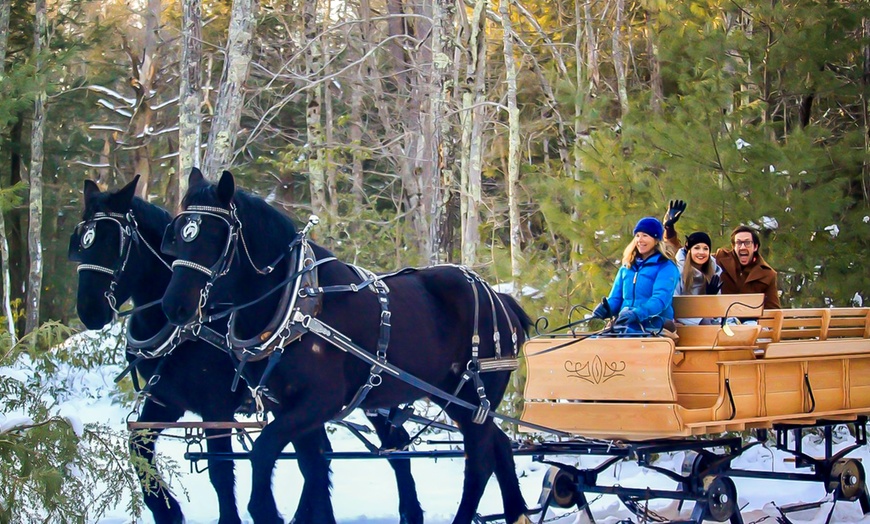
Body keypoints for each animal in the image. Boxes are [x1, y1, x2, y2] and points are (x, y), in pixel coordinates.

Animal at [68, 177, 424, 524]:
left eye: (113, 243)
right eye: (81, 244)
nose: (88, 311)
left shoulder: (217, 406)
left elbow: (221, 470)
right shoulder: (166, 400)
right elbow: (138, 448)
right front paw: (165, 508)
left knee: (391, 447)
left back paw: (408, 510)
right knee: (341, 453)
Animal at [160, 168, 534, 524]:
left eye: (214, 236)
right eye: (177, 236)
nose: (173, 306)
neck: (296, 303)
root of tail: (501, 298)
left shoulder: (320, 401)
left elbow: (265, 451)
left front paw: (266, 510)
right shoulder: (288, 407)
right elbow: (312, 469)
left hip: (475, 397)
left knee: (479, 463)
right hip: (454, 398)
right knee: (500, 447)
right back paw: (517, 511)